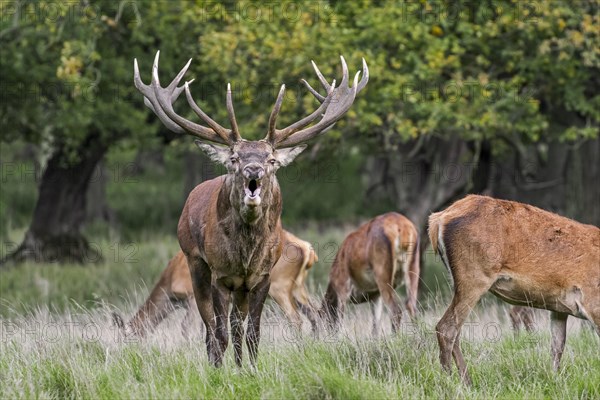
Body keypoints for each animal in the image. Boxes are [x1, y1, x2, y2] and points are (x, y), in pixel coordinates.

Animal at [112, 230, 318, 336]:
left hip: (279, 286)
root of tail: (307, 249)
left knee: (296, 319)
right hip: (297, 286)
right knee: (315, 314)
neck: (169, 284)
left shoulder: (191, 295)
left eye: (124, 339)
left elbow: (187, 328)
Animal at [134, 50, 368, 366]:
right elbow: (218, 332)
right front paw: (219, 371)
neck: (246, 255)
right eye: (234, 158)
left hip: (248, 287)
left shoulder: (262, 278)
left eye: (271, 159)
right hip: (196, 264)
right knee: (211, 328)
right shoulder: (220, 275)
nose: (252, 169)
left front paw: (251, 369)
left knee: (237, 325)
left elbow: (252, 333)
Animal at [428, 195, 596, 386]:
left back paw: (465, 381)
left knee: (456, 330)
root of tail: (438, 219)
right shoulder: (592, 300)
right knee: (446, 327)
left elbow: (557, 346)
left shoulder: (559, 308)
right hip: (474, 277)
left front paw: (554, 381)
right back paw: (452, 382)